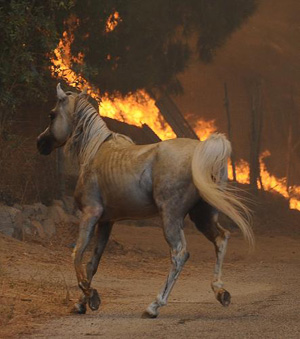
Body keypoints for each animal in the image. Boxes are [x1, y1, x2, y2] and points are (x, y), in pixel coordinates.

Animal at [37, 84, 253, 318]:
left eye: (51, 114)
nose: (40, 143)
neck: (95, 152)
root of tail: (201, 153)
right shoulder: (106, 222)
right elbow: (92, 263)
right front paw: (81, 302)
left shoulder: (90, 214)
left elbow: (77, 254)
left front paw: (91, 297)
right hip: (202, 216)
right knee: (221, 239)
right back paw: (220, 292)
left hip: (171, 217)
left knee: (179, 254)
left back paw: (154, 306)